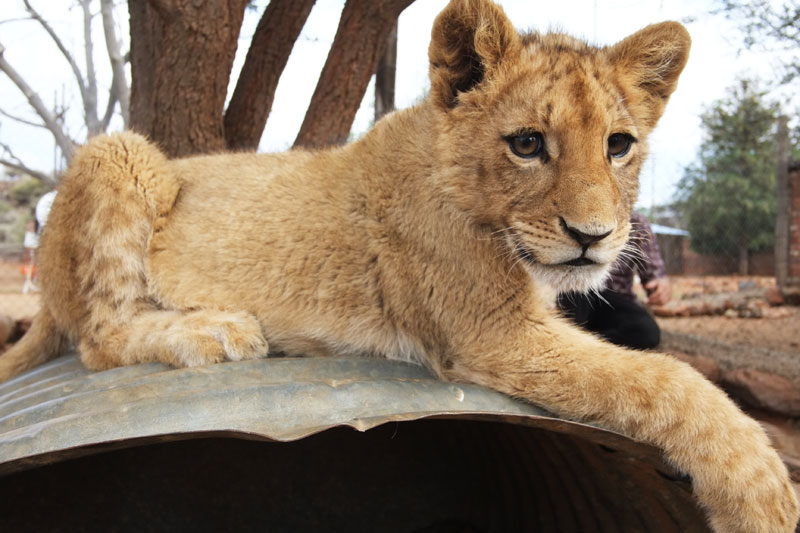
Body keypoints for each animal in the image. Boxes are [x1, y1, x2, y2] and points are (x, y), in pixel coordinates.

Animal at [0, 0, 796, 531]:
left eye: (619, 145)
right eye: (528, 144)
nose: (593, 236)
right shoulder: (492, 333)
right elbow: (671, 383)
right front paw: (764, 497)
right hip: (122, 152)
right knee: (101, 337)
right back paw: (212, 329)